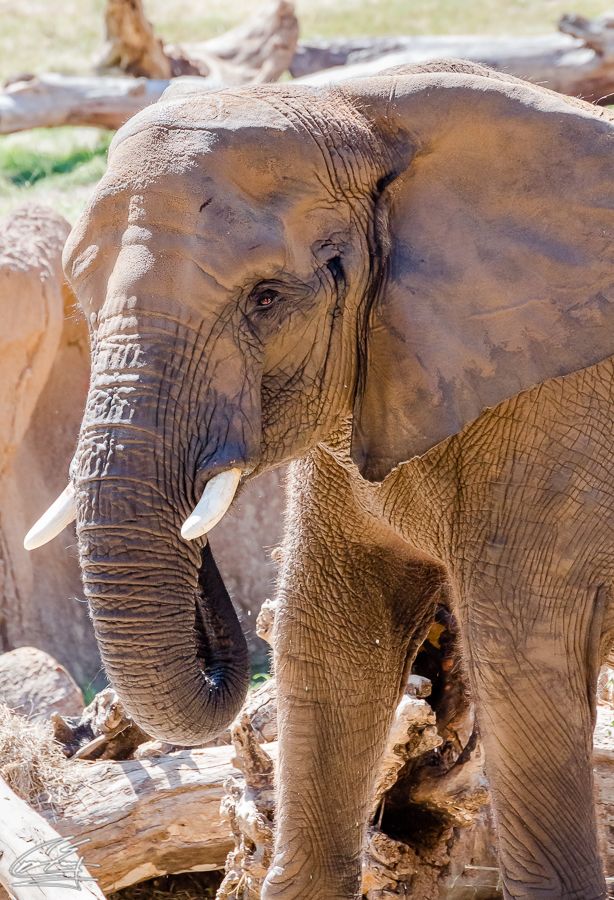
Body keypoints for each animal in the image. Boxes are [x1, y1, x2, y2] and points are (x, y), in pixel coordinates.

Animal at [24, 60, 614, 899]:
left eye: (267, 299)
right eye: (79, 297)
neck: (358, 110)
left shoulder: (559, 410)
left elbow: (523, 655)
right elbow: (332, 644)